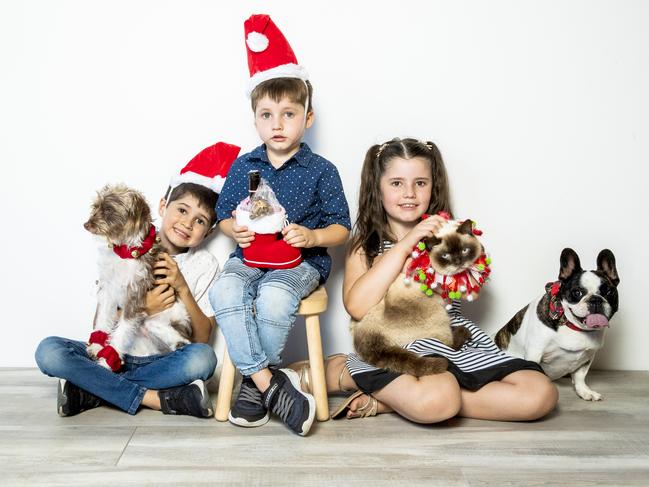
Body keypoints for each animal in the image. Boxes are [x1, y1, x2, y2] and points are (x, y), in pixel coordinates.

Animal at [350, 220, 480, 378]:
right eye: (445, 255)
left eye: (464, 250)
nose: (458, 261)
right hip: (439, 315)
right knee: (449, 346)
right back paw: (463, 331)